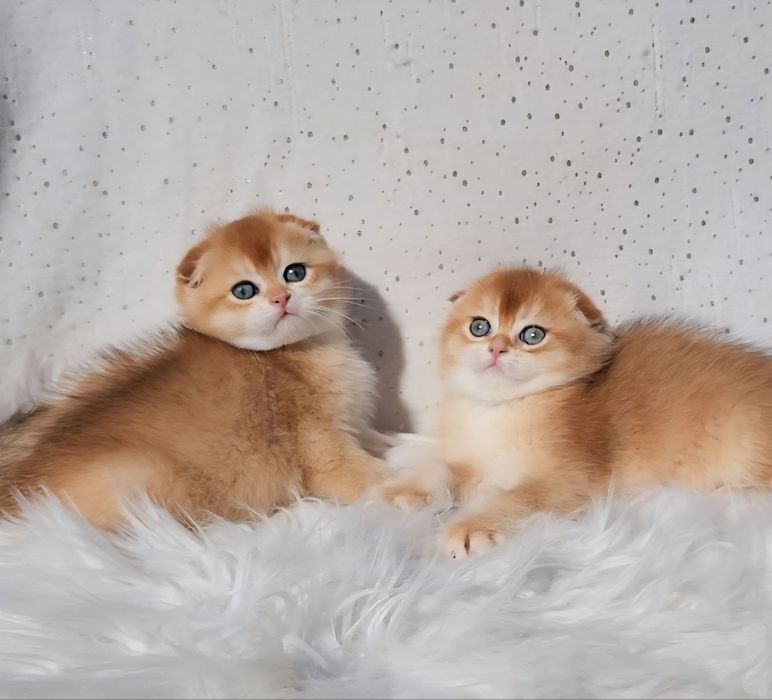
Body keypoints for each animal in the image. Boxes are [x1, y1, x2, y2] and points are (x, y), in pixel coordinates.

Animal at [0, 210, 388, 528]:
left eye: (295, 272)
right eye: (244, 290)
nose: (281, 298)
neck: (290, 353)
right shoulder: (324, 450)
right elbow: (374, 478)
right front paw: (403, 492)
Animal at [378, 267, 772, 558]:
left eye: (532, 335)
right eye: (480, 326)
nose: (496, 348)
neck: (505, 409)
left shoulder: (567, 478)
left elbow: (514, 498)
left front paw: (469, 528)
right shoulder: (474, 462)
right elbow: (441, 467)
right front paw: (407, 490)